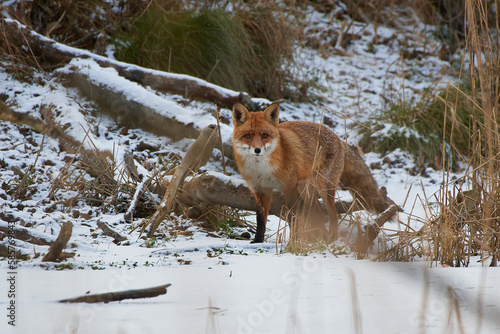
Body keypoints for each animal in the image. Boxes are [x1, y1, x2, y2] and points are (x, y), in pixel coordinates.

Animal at [232, 102, 388, 243]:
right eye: (247, 136)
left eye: (265, 135)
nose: (257, 150)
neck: (263, 170)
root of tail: (339, 139)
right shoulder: (260, 190)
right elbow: (260, 220)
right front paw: (258, 241)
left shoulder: (289, 188)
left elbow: (292, 217)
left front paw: (293, 242)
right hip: (306, 191)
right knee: (320, 213)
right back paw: (321, 238)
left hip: (323, 187)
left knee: (332, 214)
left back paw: (331, 239)